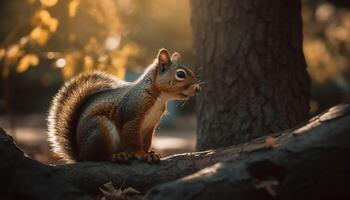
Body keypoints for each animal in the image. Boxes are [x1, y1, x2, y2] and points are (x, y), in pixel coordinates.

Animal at [47, 48, 200, 164]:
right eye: (180, 74)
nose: (198, 88)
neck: (160, 98)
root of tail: (80, 154)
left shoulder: (150, 126)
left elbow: (146, 142)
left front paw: (149, 153)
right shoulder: (132, 116)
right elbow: (134, 139)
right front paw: (141, 154)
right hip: (99, 130)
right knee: (97, 157)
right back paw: (115, 156)